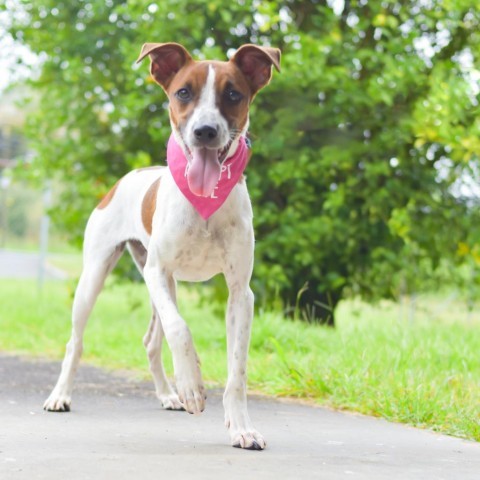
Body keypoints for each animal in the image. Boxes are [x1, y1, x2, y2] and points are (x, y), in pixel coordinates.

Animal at [44, 43, 282, 452]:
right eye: (183, 92)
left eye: (233, 94)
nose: (205, 131)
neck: (205, 202)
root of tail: (130, 176)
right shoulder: (158, 271)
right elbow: (180, 329)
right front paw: (192, 385)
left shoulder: (241, 293)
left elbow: (236, 369)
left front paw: (241, 427)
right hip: (97, 276)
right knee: (77, 343)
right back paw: (61, 396)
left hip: (161, 283)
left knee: (152, 341)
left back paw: (168, 394)